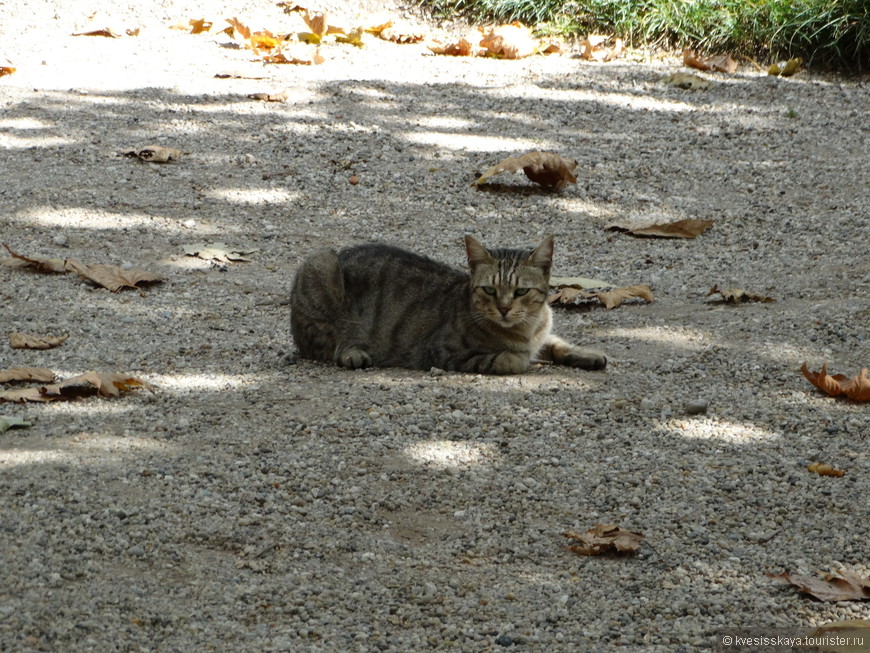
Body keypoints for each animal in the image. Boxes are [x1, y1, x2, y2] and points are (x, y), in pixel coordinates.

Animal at [292, 236, 608, 374]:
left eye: (521, 291)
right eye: (490, 289)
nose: (504, 308)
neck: (526, 330)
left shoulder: (544, 335)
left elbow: (558, 343)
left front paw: (586, 354)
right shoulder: (443, 352)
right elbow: (509, 359)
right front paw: (521, 358)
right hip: (320, 264)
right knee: (323, 347)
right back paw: (352, 353)